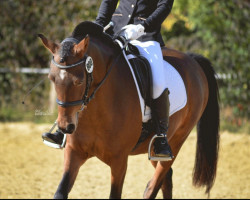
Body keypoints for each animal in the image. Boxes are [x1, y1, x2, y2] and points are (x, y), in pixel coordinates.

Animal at [38, 21, 220, 199]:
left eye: (79, 81)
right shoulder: (74, 152)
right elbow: (60, 192)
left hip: (176, 141)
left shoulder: (119, 161)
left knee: (154, 185)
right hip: (152, 150)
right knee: (166, 179)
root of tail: (192, 60)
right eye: (51, 78)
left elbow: (115, 194)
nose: (65, 127)